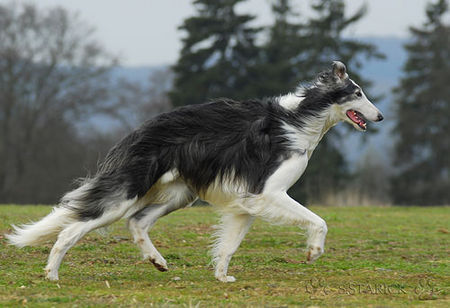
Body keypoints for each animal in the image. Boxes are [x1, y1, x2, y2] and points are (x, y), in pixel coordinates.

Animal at [6, 60, 384, 282]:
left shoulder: (247, 202)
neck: (300, 121)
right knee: (71, 231)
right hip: (128, 192)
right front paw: (314, 251)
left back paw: (157, 260)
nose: (380, 116)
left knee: (137, 222)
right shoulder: (269, 192)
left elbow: (228, 245)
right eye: (357, 93)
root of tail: (134, 133)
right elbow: (319, 221)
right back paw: (52, 273)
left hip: (177, 194)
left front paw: (222, 276)